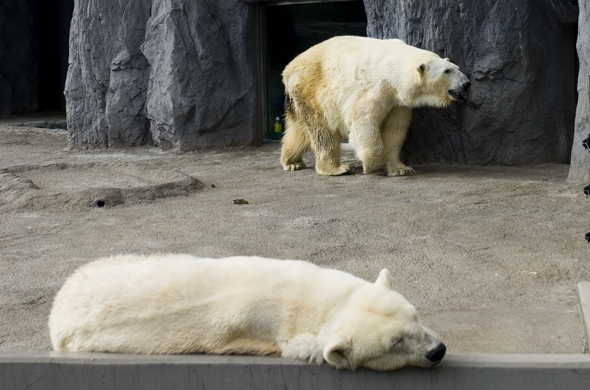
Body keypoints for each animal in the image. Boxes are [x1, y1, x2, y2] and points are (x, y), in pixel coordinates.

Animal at [282, 35, 472, 176]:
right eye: (446, 71)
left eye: (456, 67)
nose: (466, 84)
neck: (394, 65)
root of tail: (287, 69)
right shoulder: (375, 88)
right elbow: (363, 120)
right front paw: (370, 164)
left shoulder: (398, 102)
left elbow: (395, 129)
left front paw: (402, 169)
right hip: (311, 88)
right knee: (323, 130)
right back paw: (336, 168)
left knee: (300, 130)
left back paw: (292, 162)